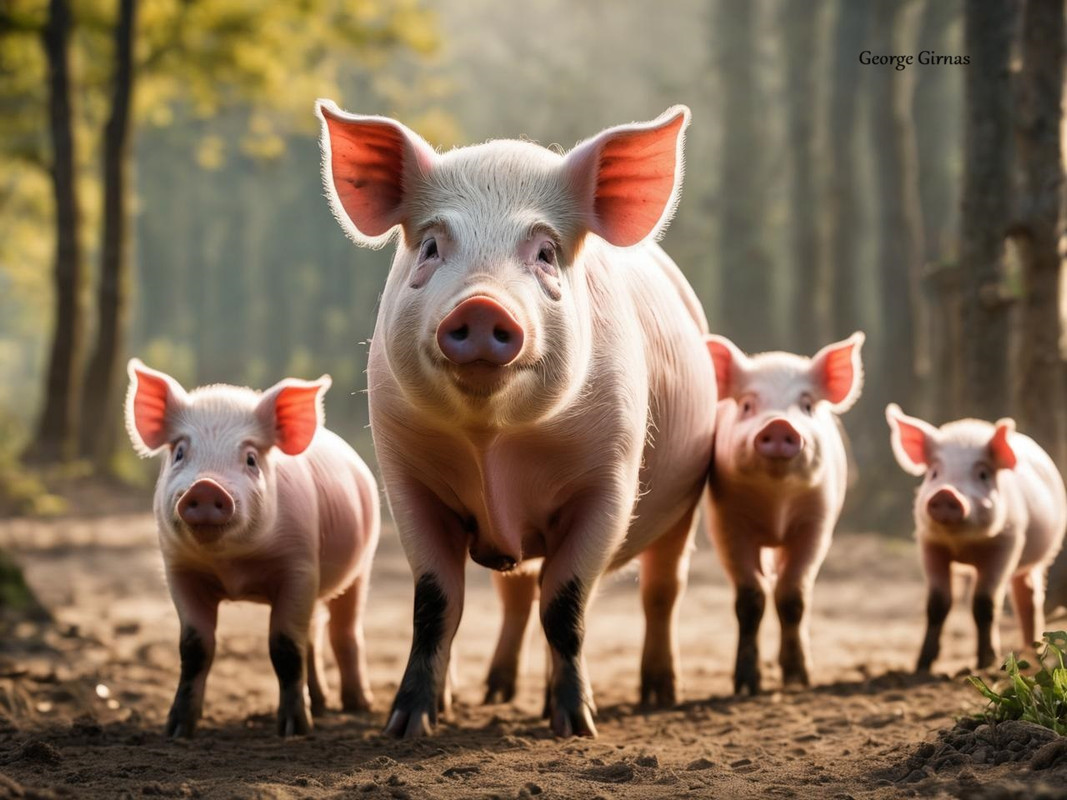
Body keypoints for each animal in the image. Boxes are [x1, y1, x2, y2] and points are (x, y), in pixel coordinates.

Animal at [124, 359, 380, 737]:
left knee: (344, 630)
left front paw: (294, 730)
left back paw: (358, 705)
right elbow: (194, 647)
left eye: (250, 459)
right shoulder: (179, 570)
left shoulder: (299, 566)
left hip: (362, 565)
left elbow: (284, 646)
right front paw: (177, 729)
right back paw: (320, 705)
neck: (233, 569)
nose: (205, 486)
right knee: (312, 635)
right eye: (180, 452)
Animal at [316, 101, 717, 738]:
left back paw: (656, 694)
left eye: (546, 252)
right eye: (431, 246)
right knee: (517, 593)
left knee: (657, 588)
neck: (491, 443)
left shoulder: (610, 481)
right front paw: (407, 726)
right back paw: (492, 693)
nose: (482, 305)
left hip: (684, 503)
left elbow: (566, 605)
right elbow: (436, 605)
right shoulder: (408, 481)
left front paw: (576, 727)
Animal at [705, 333, 865, 694]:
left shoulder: (816, 523)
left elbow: (793, 596)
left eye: (806, 405)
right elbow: (751, 597)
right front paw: (746, 687)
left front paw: (798, 680)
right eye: (747, 405)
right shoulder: (727, 522)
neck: (776, 502)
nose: (779, 423)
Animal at [885, 404, 1067, 671]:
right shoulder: (930, 544)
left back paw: (1031, 656)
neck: (963, 544)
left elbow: (984, 603)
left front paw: (985, 663)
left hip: (1042, 554)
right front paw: (922, 666)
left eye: (982, 474)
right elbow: (937, 603)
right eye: (934, 473)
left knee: (1029, 596)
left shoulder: (1006, 544)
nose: (946, 493)